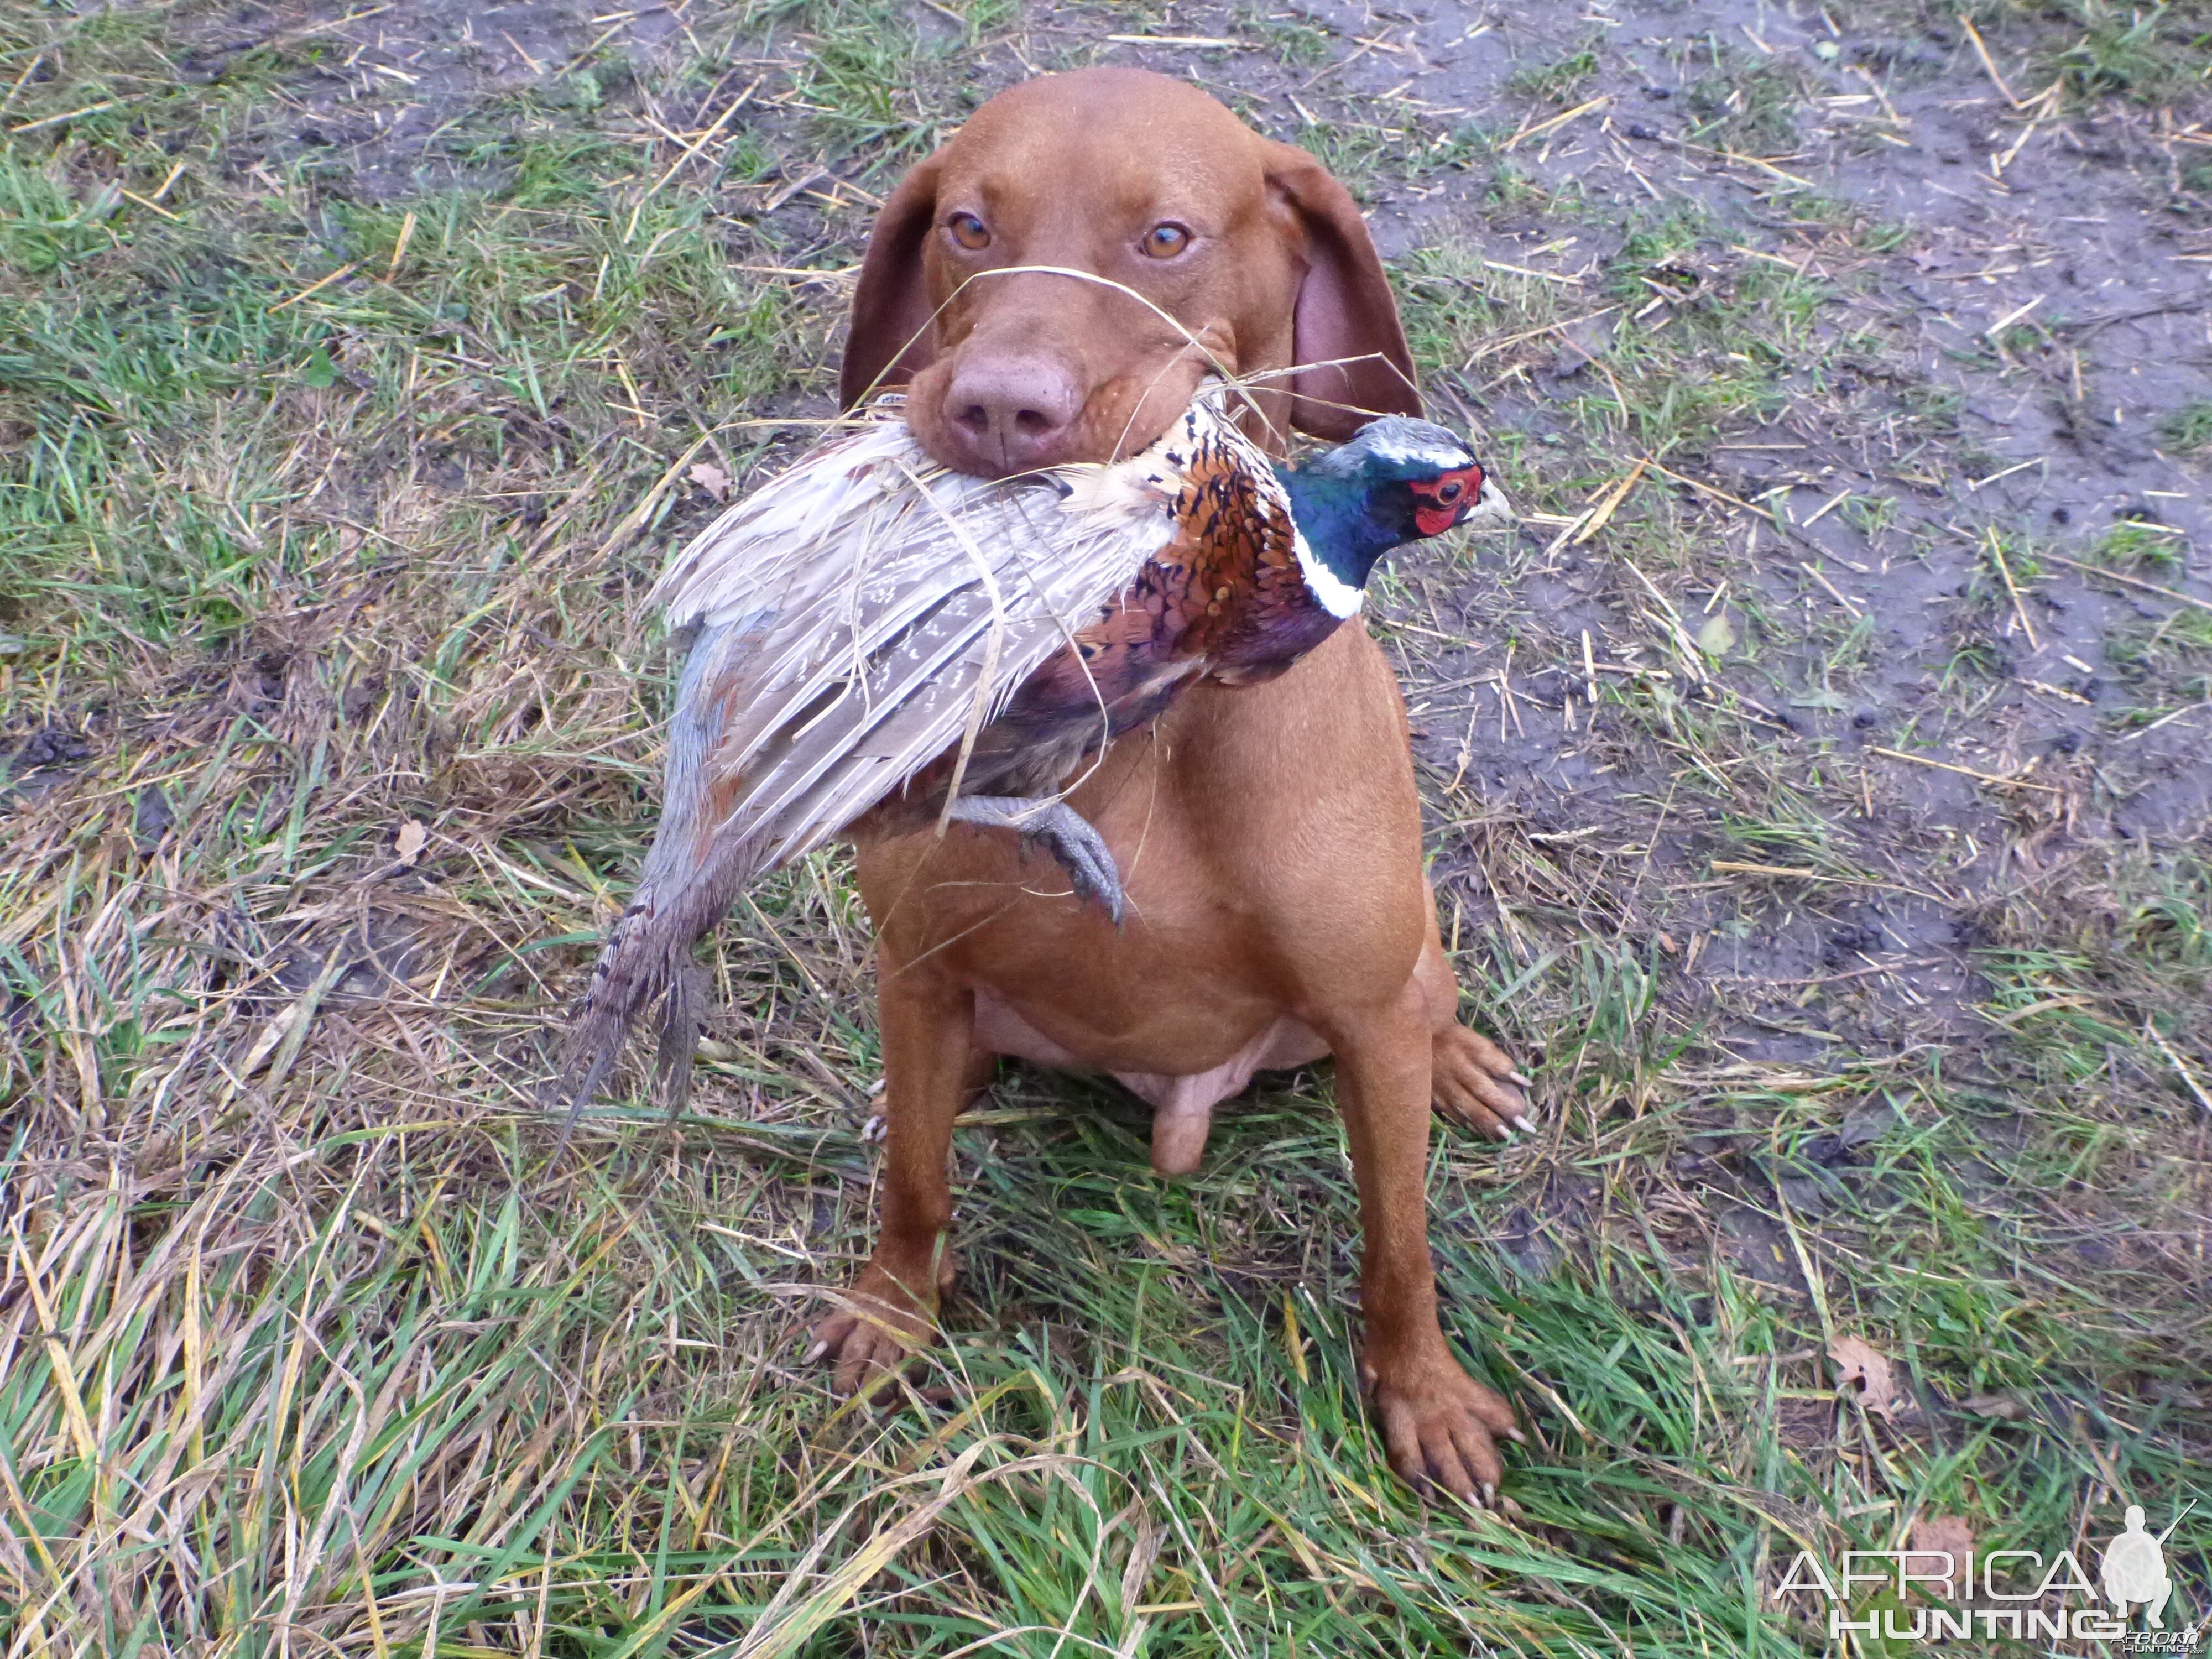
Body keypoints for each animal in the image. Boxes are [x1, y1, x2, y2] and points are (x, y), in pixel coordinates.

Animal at [805, 68, 1531, 1504]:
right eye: (968, 224)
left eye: (1165, 238)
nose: (998, 408)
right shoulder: (917, 970)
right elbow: (914, 1181)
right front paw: (892, 1307)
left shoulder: (1363, 1015)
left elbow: (1399, 1247)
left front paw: (1421, 1395)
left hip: (1389, 979)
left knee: (1426, 1005)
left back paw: (1463, 1064)